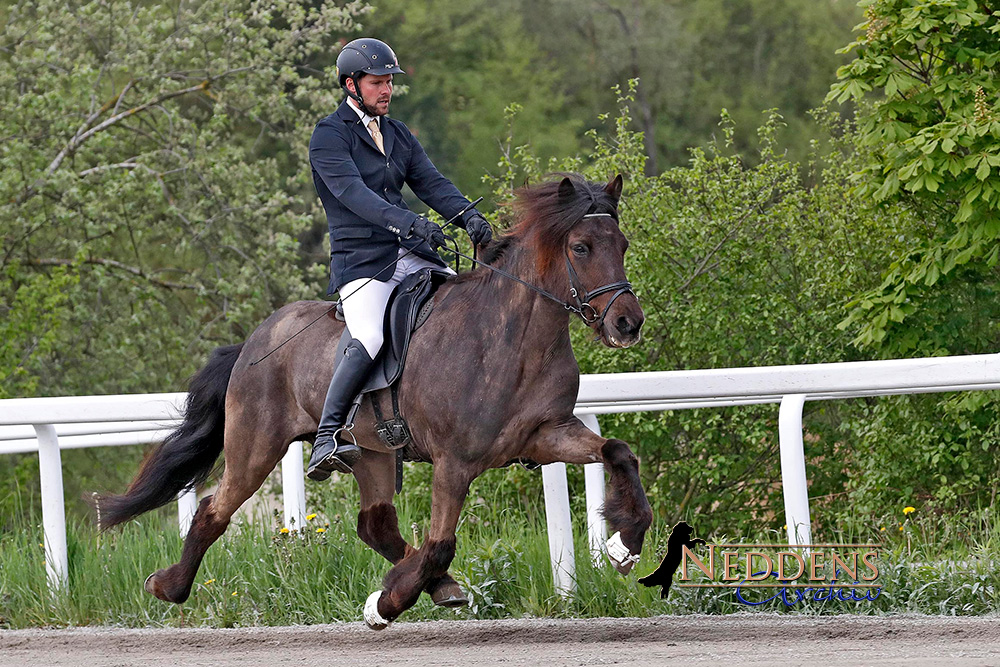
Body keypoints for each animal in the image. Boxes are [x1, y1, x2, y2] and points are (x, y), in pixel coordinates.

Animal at [95, 174, 656, 632]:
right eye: (581, 246)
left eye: (623, 244)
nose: (627, 323)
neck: (512, 339)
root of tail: (254, 340)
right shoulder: (455, 462)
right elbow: (441, 542)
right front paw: (386, 602)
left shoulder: (545, 435)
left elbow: (618, 451)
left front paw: (623, 544)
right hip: (256, 446)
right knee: (215, 509)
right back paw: (168, 586)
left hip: (373, 451)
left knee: (375, 524)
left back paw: (434, 583)